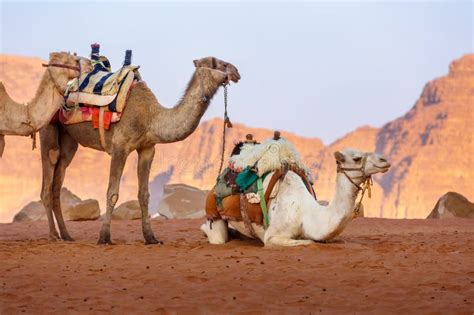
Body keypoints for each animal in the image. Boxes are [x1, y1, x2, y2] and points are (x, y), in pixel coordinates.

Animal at [39, 56, 241, 244]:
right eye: (219, 63)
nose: (237, 72)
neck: (151, 118)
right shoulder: (120, 147)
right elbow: (112, 193)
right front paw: (104, 237)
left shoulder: (147, 149)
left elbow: (144, 195)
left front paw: (151, 238)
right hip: (48, 125)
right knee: (48, 179)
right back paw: (53, 235)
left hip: (69, 138)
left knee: (58, 180)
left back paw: (66, 235)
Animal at [200, 148, 388, 247]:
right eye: (357, 158)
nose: (384, 160)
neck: (306, 212)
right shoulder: (272, 236)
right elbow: (309, 242)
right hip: (214, 213)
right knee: (216, 235)